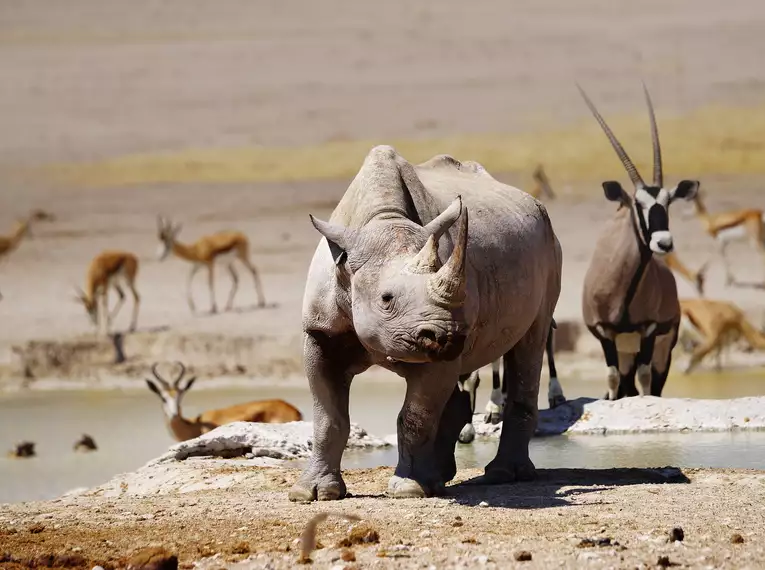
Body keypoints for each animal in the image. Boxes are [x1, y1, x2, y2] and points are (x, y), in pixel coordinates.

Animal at [580, 84, 700, 400]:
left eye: (668, 202)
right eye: (638, 203)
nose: (664, 243)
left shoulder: (649, 330)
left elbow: (645, 381)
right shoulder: (603, 332)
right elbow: (612, 380)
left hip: (662, 347)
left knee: (651, 382)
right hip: (626, 351)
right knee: (625, 382)